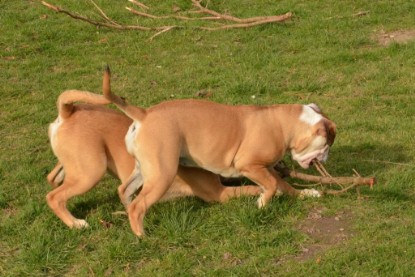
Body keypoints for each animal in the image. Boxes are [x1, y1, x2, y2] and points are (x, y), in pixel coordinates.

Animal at [47, 89, 262, 227]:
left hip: (75, 166)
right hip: (91, 172)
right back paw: (75, 223)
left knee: (53, 178)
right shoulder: (218, 192)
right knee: (54, 197)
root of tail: (68, 112)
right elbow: (248, 188)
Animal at [101, 65, 338, 235]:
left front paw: (305, 193)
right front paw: (262, 203)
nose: (326, 157)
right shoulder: (249, 165)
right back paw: (143, 237)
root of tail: (144, 114)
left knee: (125, 190)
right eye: (326, 145)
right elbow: (271, 185)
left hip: (145, 169)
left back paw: (127, 213)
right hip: (163, 172)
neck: (284, 124)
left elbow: (283, 184)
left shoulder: (265, 168)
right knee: (139, 206)